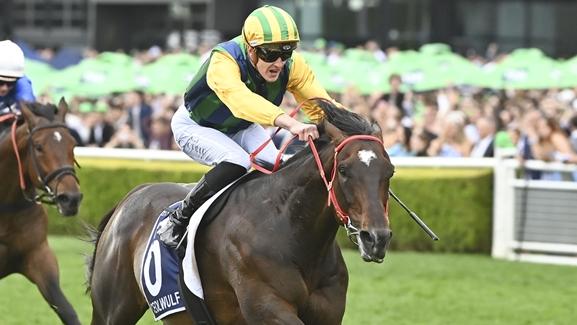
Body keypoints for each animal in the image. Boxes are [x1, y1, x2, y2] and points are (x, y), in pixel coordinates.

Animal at [88, 100, 394, 322]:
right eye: (344, 170)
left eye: (389, 171)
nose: (376, 238)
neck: (290, 230)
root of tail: (131, 195)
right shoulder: (266, 306)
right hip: (113, 309)